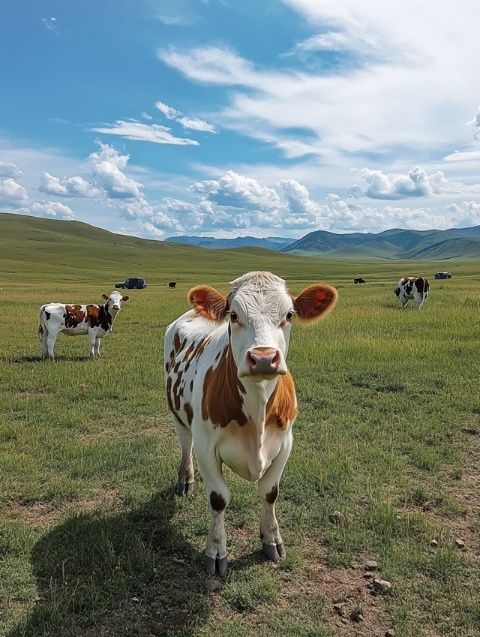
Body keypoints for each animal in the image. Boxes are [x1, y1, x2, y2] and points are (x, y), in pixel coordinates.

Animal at [165, 270, 338, 572]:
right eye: (233, 315)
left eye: (289, 314)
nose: (263, 358)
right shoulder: (206, 447)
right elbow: (218, 499)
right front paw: (216, 551)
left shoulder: (285, 442)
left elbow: (270, 493)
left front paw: (272, 539)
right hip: (178, 413)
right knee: (184, 443)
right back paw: (186, 479)